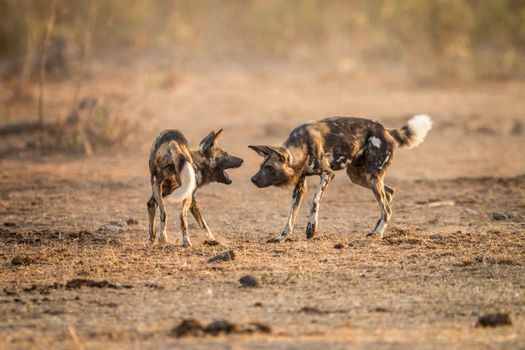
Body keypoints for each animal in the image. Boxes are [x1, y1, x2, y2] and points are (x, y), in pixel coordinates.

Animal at [249, 115, 430, 241]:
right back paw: (376, 230)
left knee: (387, 208)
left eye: (269, 167)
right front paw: (282, 236)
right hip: (358, 176)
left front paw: (311, 229)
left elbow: (314, 201)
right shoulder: (300, 186)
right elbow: (291, 213)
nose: (253, 179)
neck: (301, 148)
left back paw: (377, 234)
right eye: (261, 166)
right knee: (390, 192)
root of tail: (385, 130)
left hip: (371, 176)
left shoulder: (328, 174)